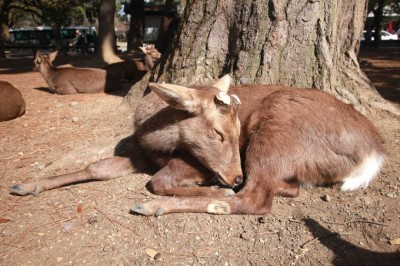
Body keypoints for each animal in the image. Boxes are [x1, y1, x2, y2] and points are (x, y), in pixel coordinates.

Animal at [9, 75, 384, 216]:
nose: (233, 176)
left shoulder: (190, 162)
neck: (155, 141)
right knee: (283, 188)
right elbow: (96, 168)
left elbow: (158, 181)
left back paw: (162, 206)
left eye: (237, 130)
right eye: (218, 133)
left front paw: (214, 189)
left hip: (277, 127)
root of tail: (373, 154)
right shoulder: (139, 155)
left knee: (257, 200)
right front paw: (27, 185)